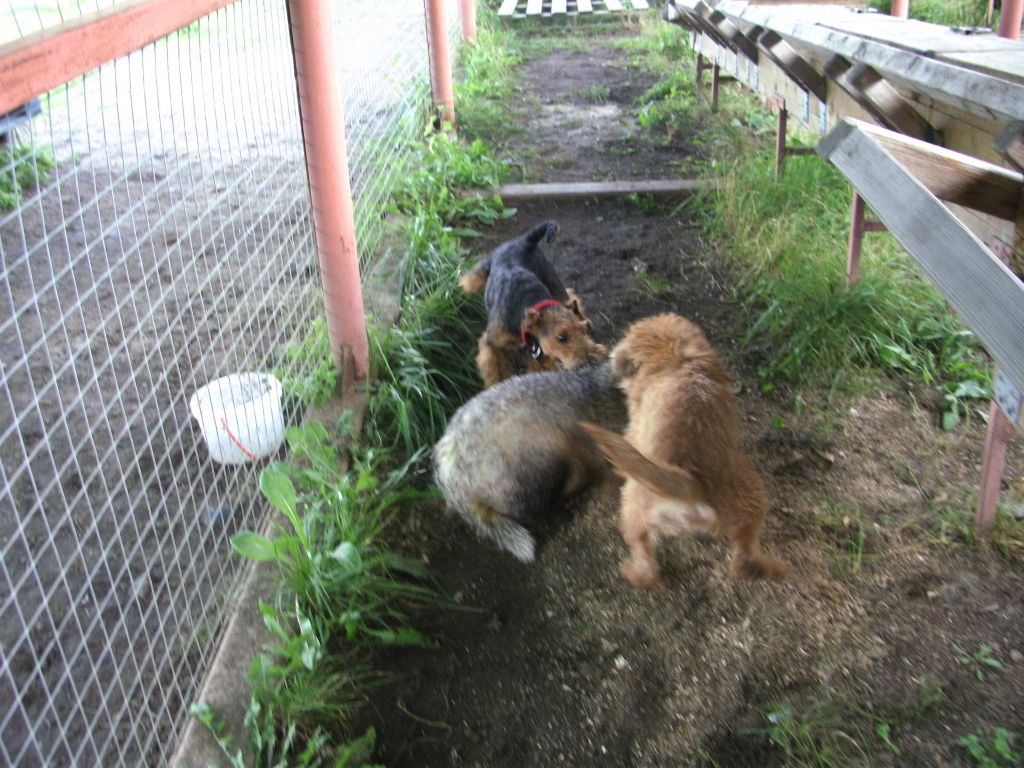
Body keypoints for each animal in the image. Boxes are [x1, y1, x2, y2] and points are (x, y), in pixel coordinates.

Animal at [459, 220, 605, 388]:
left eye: (583, 331)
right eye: (562, 337)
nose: (593, 362)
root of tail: (526, 240)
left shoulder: (538, 350)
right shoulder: (492, 344)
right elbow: (497, 371)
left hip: (553, 281)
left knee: (571, 299)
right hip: (478, 276)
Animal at [579, 313, 787, 587]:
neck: (676, 361)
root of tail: (690, 481)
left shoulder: (633, 432)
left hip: (633, 508)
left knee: (646, 562)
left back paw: (633, 573)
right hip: (752, 503)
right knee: (744, 559)